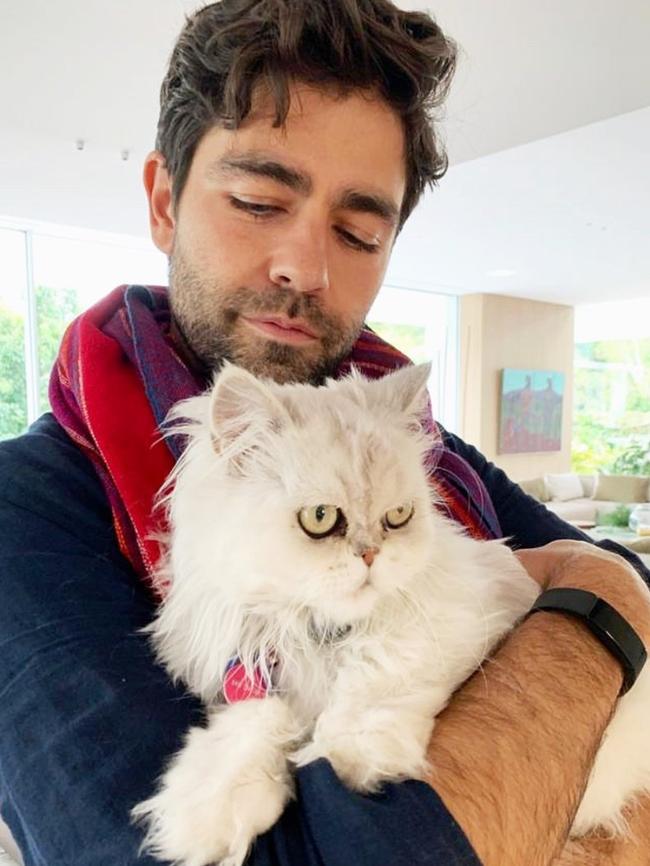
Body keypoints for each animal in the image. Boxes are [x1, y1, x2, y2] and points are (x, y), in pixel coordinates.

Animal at [130, 360, 648, 864]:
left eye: (397, 517)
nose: (370, 555)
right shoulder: (256, 671)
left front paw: (353, 759)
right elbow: (254, 727)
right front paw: (204, 813)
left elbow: (378, 673)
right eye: (319, 519)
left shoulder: (454, 614)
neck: (321, 634)